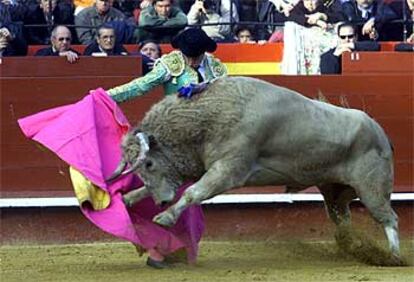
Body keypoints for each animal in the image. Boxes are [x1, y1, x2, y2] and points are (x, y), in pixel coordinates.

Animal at [108, 76, 400, 258]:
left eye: (148, 162)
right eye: (139, 169)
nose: (162, 201)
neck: (210, 116)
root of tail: (380, 131)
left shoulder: (229, 170)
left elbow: (193, 193)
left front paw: (165, 217)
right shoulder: (202, 167)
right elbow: (172, 188)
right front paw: (129, 198)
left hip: (372, 188)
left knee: (389, 218)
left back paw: (393, 257)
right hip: (335, 191)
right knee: (342, 218)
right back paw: (352, 248)